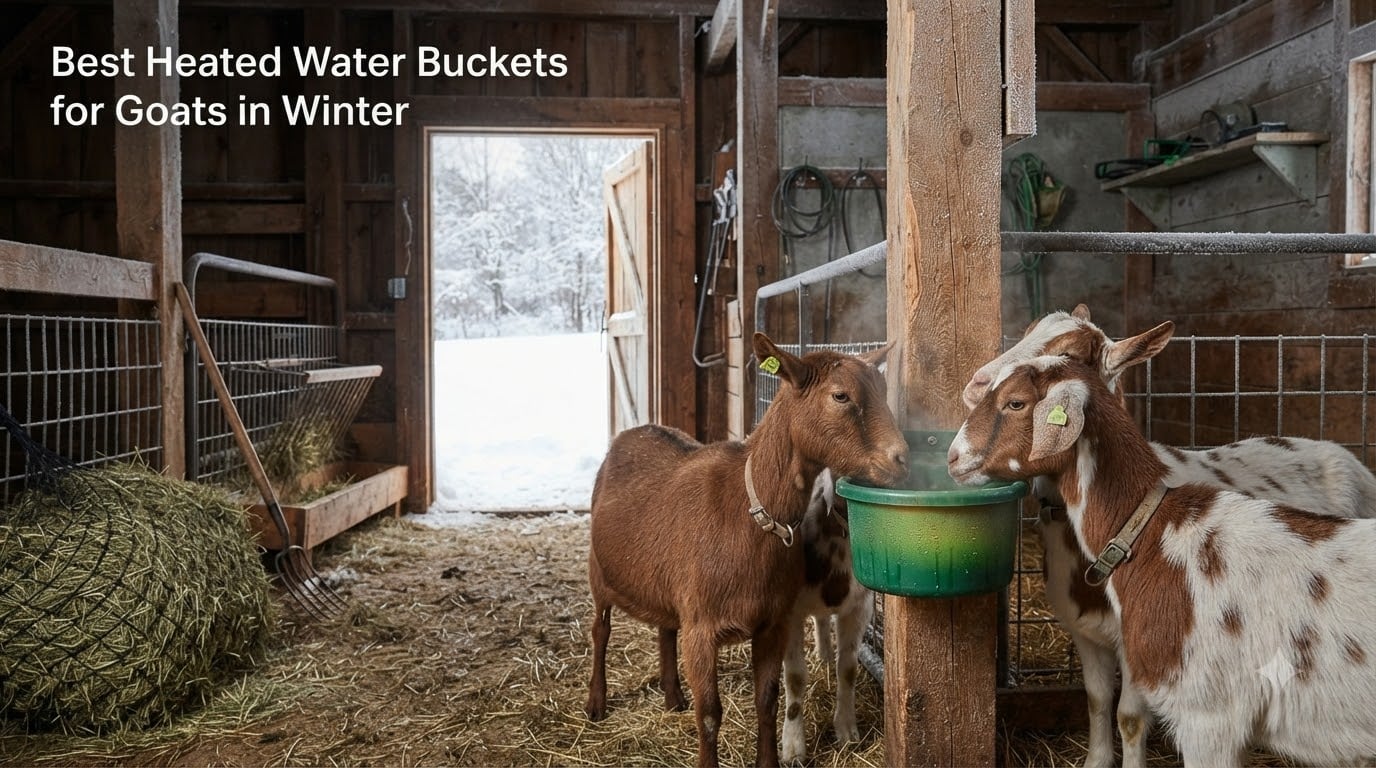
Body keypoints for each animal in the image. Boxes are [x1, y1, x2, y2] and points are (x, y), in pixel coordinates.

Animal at [781, 469, 873, 763]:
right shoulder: (789, 612)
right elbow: (795, 677)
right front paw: (793, 748)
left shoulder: (861, 606)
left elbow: (848, 669)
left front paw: (847, 730)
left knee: (821, 619)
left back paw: (823, 655)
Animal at [962, 305, 1376, 768]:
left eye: (1069, 353)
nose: (975, 385)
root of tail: (1334, 449)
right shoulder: (1084, 632)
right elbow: (1097, 699)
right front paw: (1096, 759)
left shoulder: (1139, 649)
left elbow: (1129, 716)